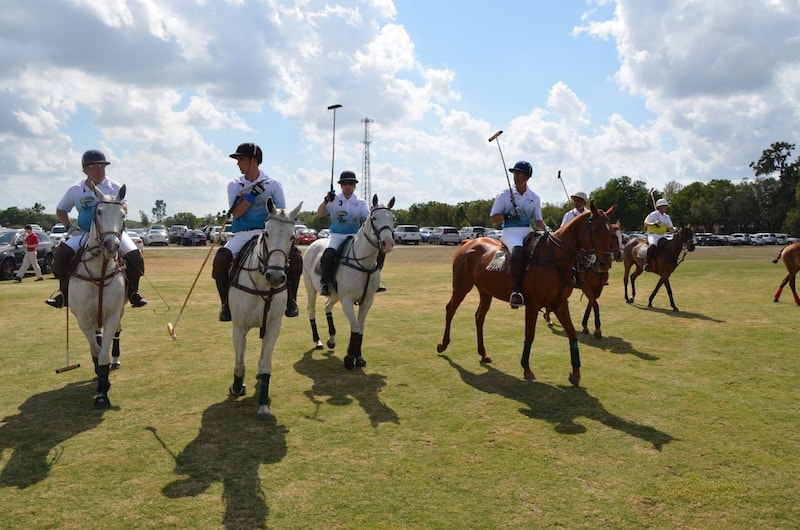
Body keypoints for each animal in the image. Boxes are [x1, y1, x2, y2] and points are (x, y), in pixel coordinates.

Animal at [70, 184, 128, 406]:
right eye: (99, 211)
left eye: (123, 214)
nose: (111, 245)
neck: (99, 271)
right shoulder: (83, 318)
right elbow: (95, 350)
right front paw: (100, 378)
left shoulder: (112, 314)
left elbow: (103, 354)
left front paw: (103, 393)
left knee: (117, 332)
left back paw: (116, 359)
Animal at [227, 198, 302, 416]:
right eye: (267, 233)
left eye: (292, 236)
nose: (275, 277)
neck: (262, 284)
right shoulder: (238, 327)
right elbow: (240, 364)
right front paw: (236, 387)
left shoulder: (273, 326)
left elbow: (266, 365)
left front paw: (263, 406)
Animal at [304, 193, 396, 368]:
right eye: (374, 218)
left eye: (393, 219)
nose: (388, 244)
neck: (364, 264)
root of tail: (314, 242)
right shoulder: (347, 299)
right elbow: (355, 326)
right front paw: (348, 358)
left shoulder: (367, 300)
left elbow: (361, 327)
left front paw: (358, 356)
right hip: (311, 288)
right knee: (311, 310)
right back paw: (318, 341)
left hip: (335, 294)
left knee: (327, 306)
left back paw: (331, 339)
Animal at [434, 202, 616, 384]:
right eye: (597, 230)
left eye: (611, 232)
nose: (604, 264)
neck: (555, 258)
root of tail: (467, 242)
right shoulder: (533, 304)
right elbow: (530, 335)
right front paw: (527, 369)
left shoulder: (560, 303)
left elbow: (572, 334)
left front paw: (575, 373)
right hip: (461, 286)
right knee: (450, 309)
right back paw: (443, 344)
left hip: (485, 291)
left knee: (479, 317)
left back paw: (483, 353)